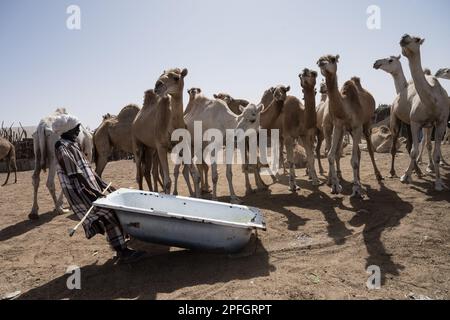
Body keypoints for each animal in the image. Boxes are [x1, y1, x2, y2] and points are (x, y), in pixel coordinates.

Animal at [400, 34, 448, 190]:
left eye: (416, 39)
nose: (404, 37)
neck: (432, 101)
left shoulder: (441, 122)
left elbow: (436, 154)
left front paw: (438, 183)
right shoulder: (415, 122)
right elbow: (413, 151)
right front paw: (405, 176)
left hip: (430, 125)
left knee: (428, 144)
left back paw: (430, 167)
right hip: (424, 125)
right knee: (423, 144)